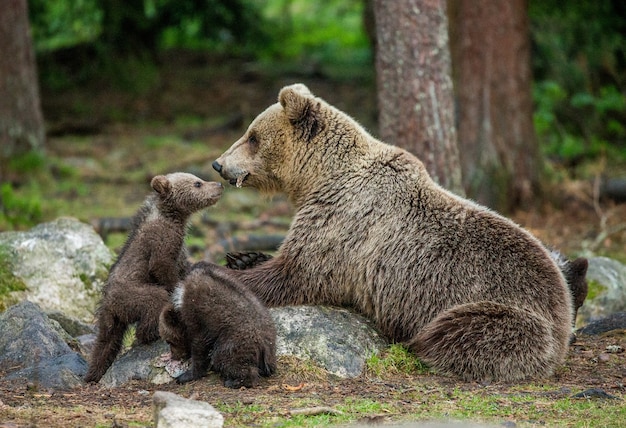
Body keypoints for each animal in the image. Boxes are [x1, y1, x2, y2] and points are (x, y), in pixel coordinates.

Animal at [212, 83, 572, 382]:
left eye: (252, 136)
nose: (218, 163)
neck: (318, 178)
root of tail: (565, 314)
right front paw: (242, 258)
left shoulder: (343, 221)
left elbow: (296, 273)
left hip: (510, 317)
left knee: (453, 331)